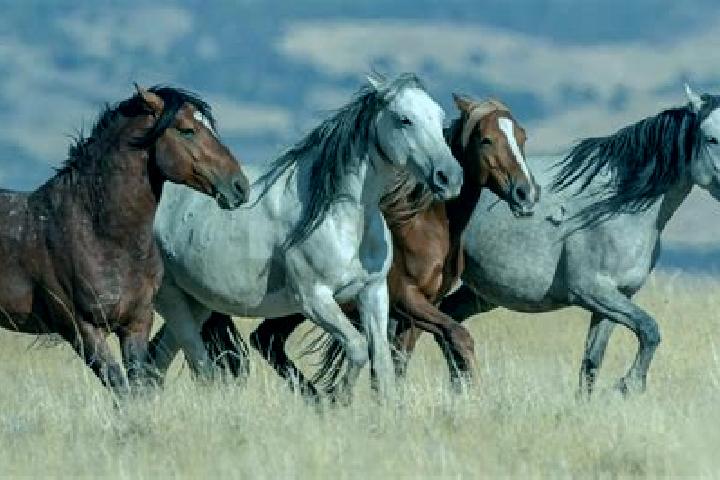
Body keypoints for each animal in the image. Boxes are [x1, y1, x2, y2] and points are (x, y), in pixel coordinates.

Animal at [0, 85, 249, 396]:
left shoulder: (137, 323)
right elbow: (120, 387)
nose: (240, 186)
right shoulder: (82, 329)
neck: (99, 235)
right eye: (187, 130)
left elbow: (138, 386)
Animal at [146, 73, 463, 400]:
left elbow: (383, 364)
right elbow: (358, 348)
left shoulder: (373, 292)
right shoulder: (314, 299)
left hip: (198, 302)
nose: (449, 177)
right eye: (404, 119)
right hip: (172, 299)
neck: (342, 220)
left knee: (158, 358)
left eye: (440, 118)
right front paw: (337, 400)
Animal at [211, 95, 539, 396]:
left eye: (522, 136)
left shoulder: (418, 310)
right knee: (258, 342)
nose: (526, 194)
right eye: (486, 140)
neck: (424, 225)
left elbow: (399, 360)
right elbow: (458, 336)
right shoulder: (406, 298)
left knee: (266, 341)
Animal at [396, 84, 720, 395]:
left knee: (447, 322)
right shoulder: (592, 292)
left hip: (480, 294)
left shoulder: (616, 299)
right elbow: (650, 329)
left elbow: (592, 363)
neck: (615, 206)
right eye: (711, 138)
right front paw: (629, 384)